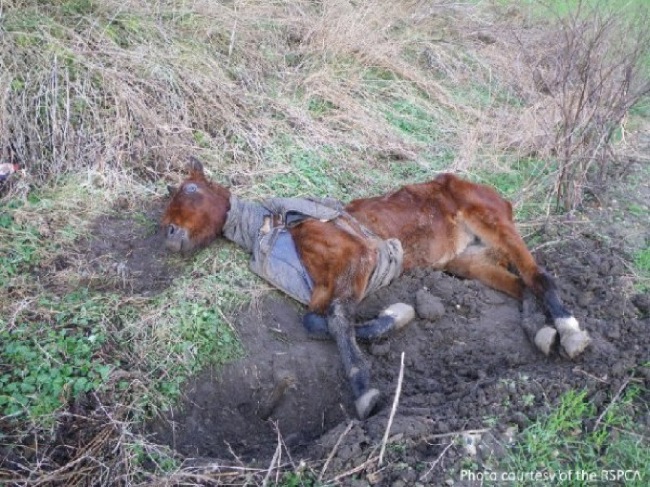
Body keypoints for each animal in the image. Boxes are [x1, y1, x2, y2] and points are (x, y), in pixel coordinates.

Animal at [162, 158, 588, 422]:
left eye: (191, 190)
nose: (168, 234)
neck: (279, 229)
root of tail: (492, 191)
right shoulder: (321, 287)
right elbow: (316, 321)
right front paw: (394, 317)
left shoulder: (359, 257)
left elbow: (337, 319)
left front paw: (364, 390)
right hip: (467, 258)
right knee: (522, 284)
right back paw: (539, 330)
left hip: (493, 222)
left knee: (539, 275)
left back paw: (569, 331)